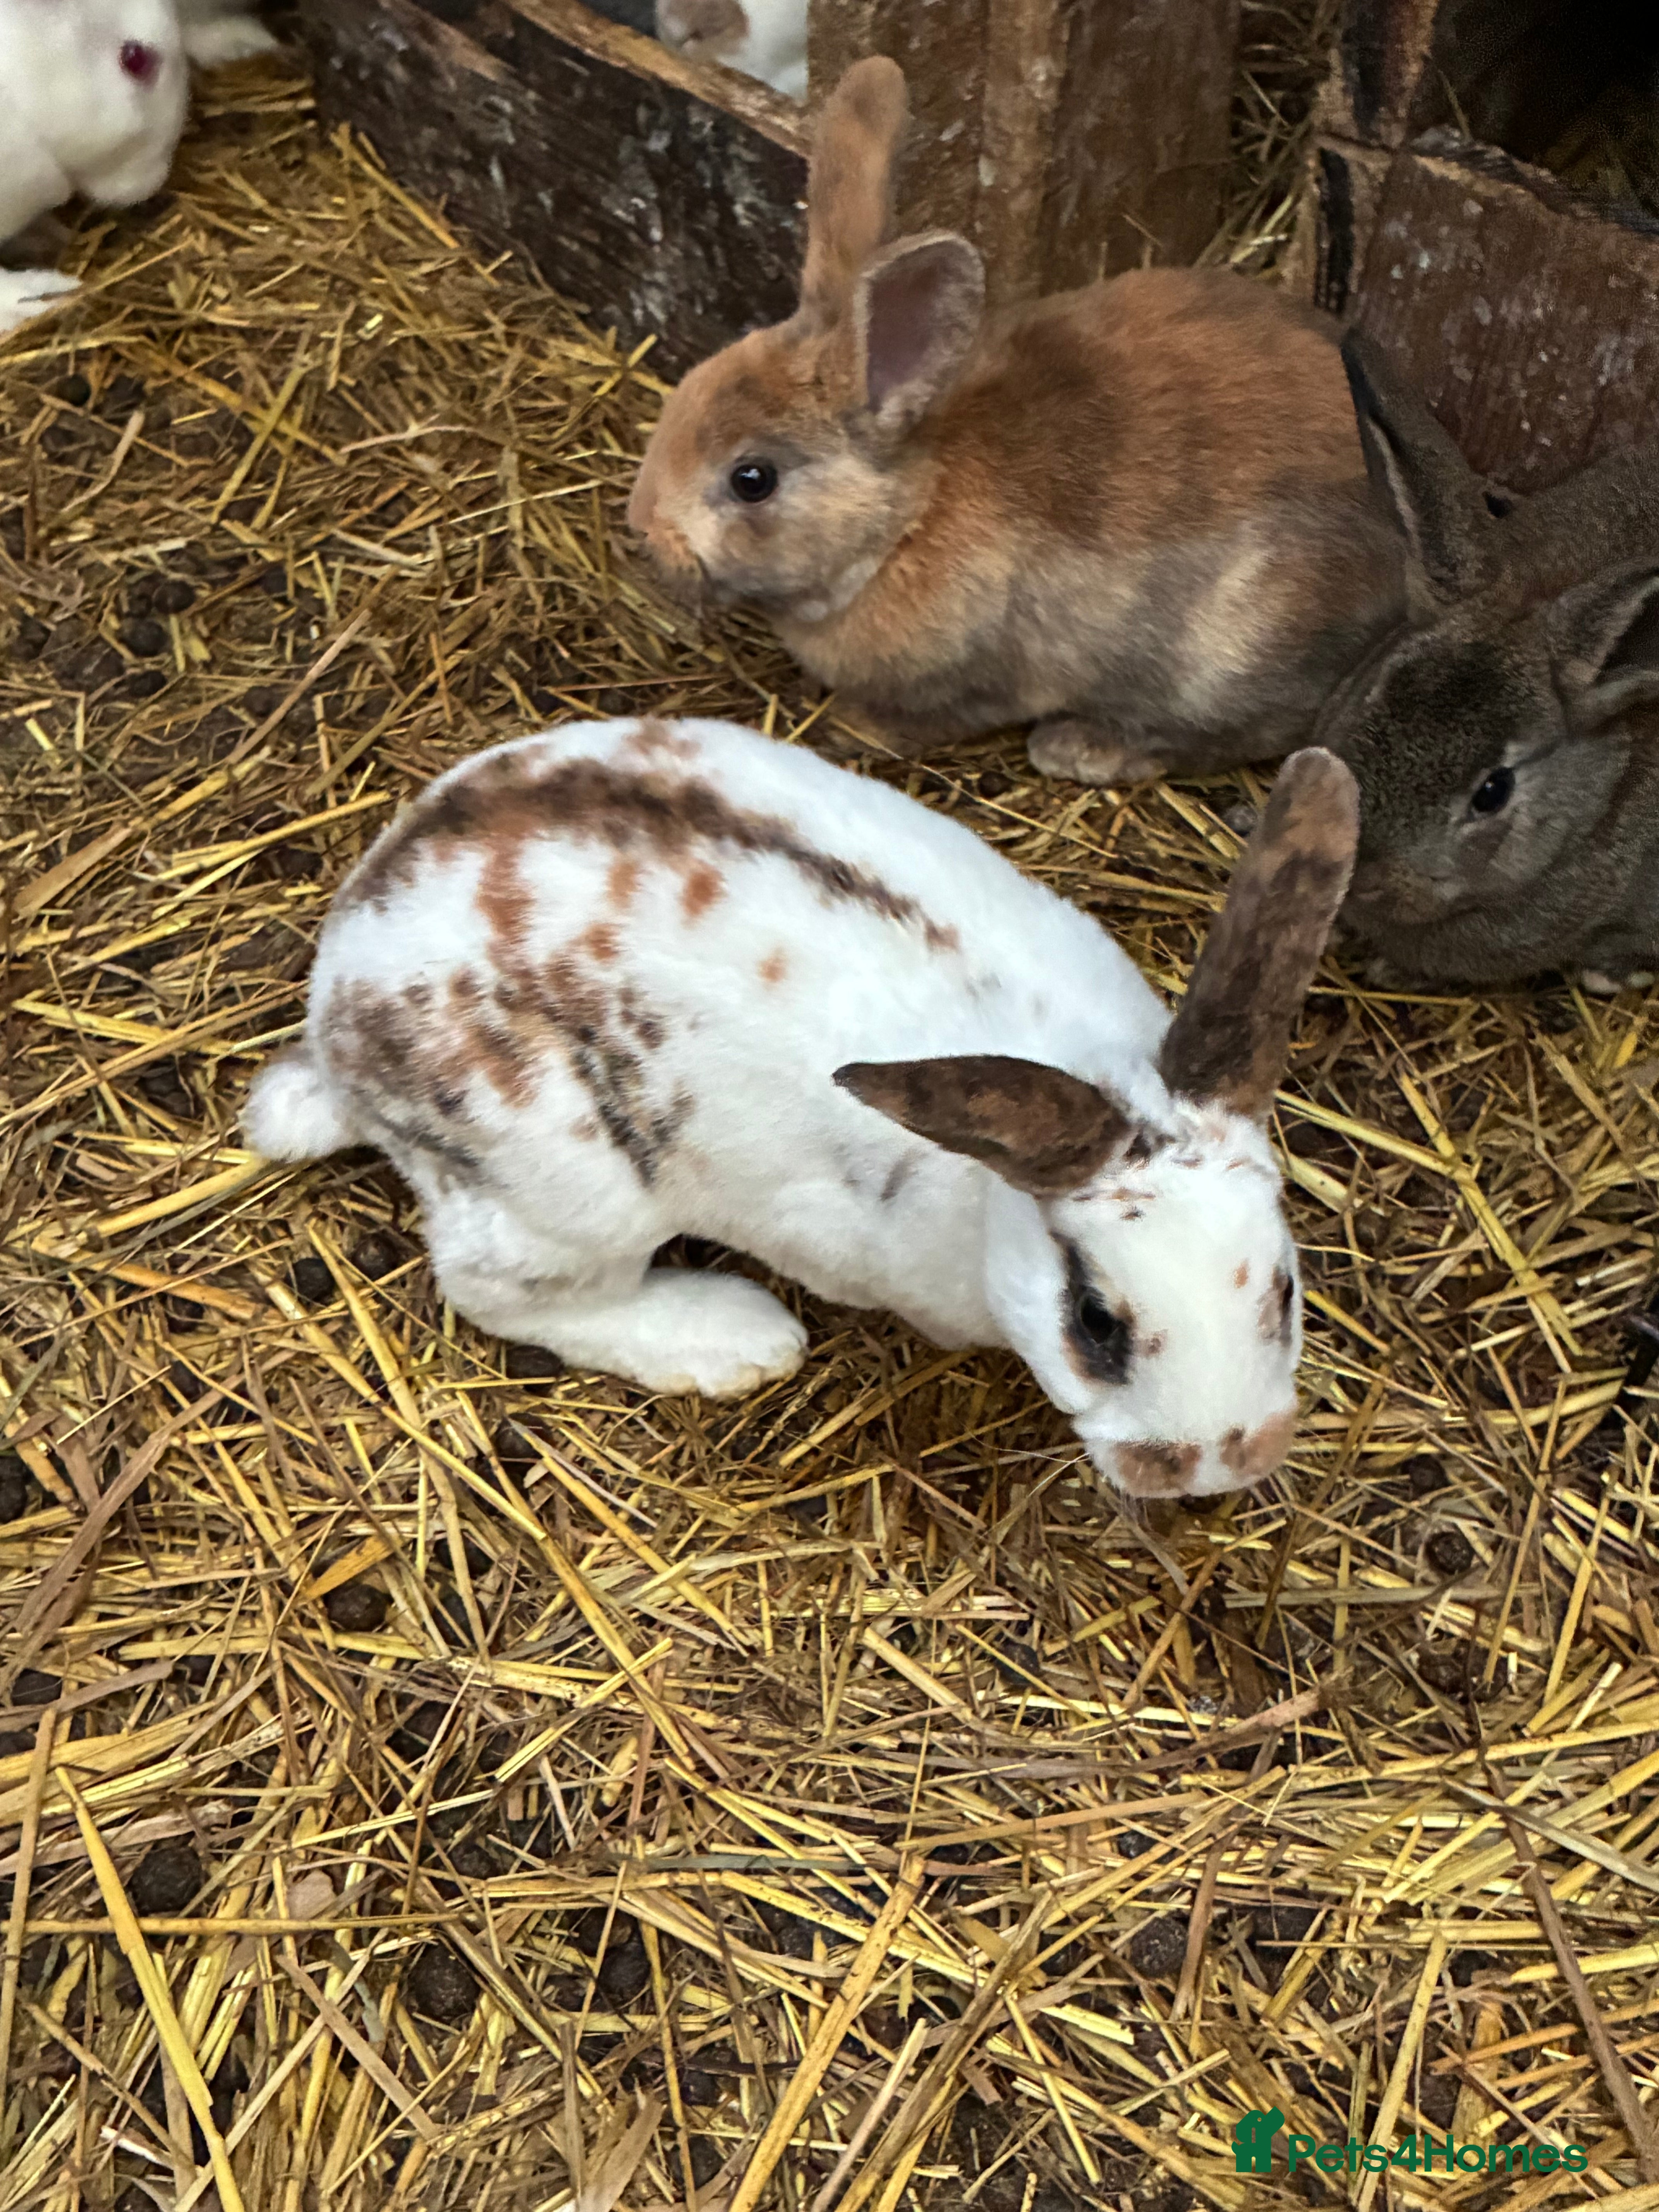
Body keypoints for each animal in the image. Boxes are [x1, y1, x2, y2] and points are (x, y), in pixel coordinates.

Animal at [244, 716, 1359, 1502]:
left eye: (1284, 1288)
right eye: (1095, 1321)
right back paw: (737, 1339)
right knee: (503, 1294)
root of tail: (337, 1021)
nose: (1223, 1462)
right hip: (571, 1196)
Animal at [627, 57, 1404, 789]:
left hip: (1238, 651)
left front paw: (846, 727)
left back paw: (1082, 749)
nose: (644, 527)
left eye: (752, 479)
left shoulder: (972, 682)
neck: (904, 523)